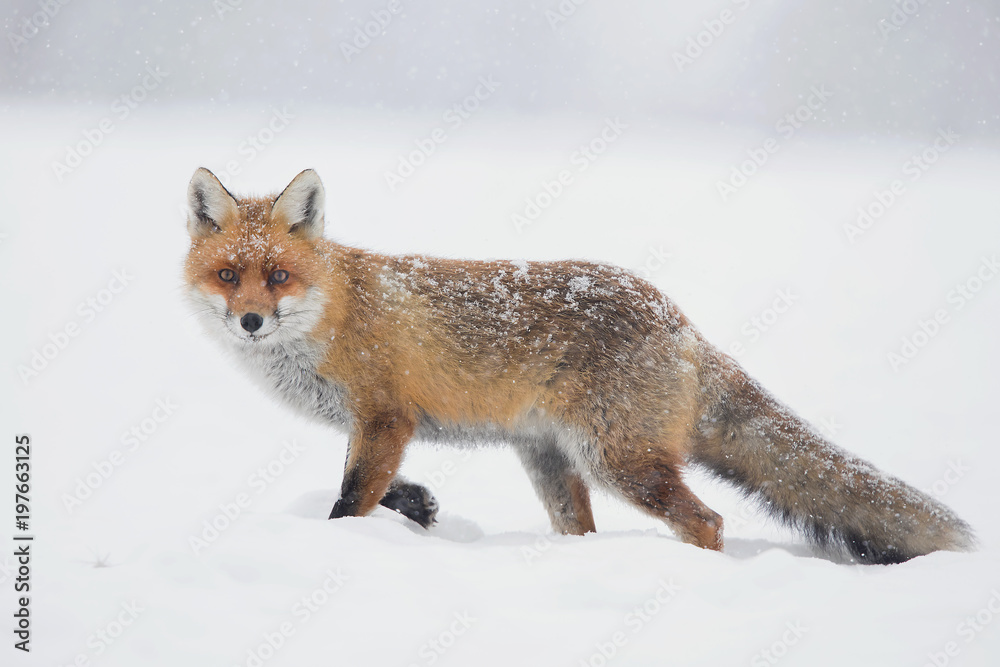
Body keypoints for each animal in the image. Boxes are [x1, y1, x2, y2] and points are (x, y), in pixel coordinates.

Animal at [183, 167, 975, 564]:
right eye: (228, 275)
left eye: (277, 276)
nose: (250, 321)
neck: (336, 312)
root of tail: (680, 321)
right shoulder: (383, 428)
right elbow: (372, 488)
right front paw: (418, 507)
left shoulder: (384, 414)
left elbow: (349, 500)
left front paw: (341, 542)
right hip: (551, 461)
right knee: (588, 531)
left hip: (617, 458)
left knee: (709, 521)